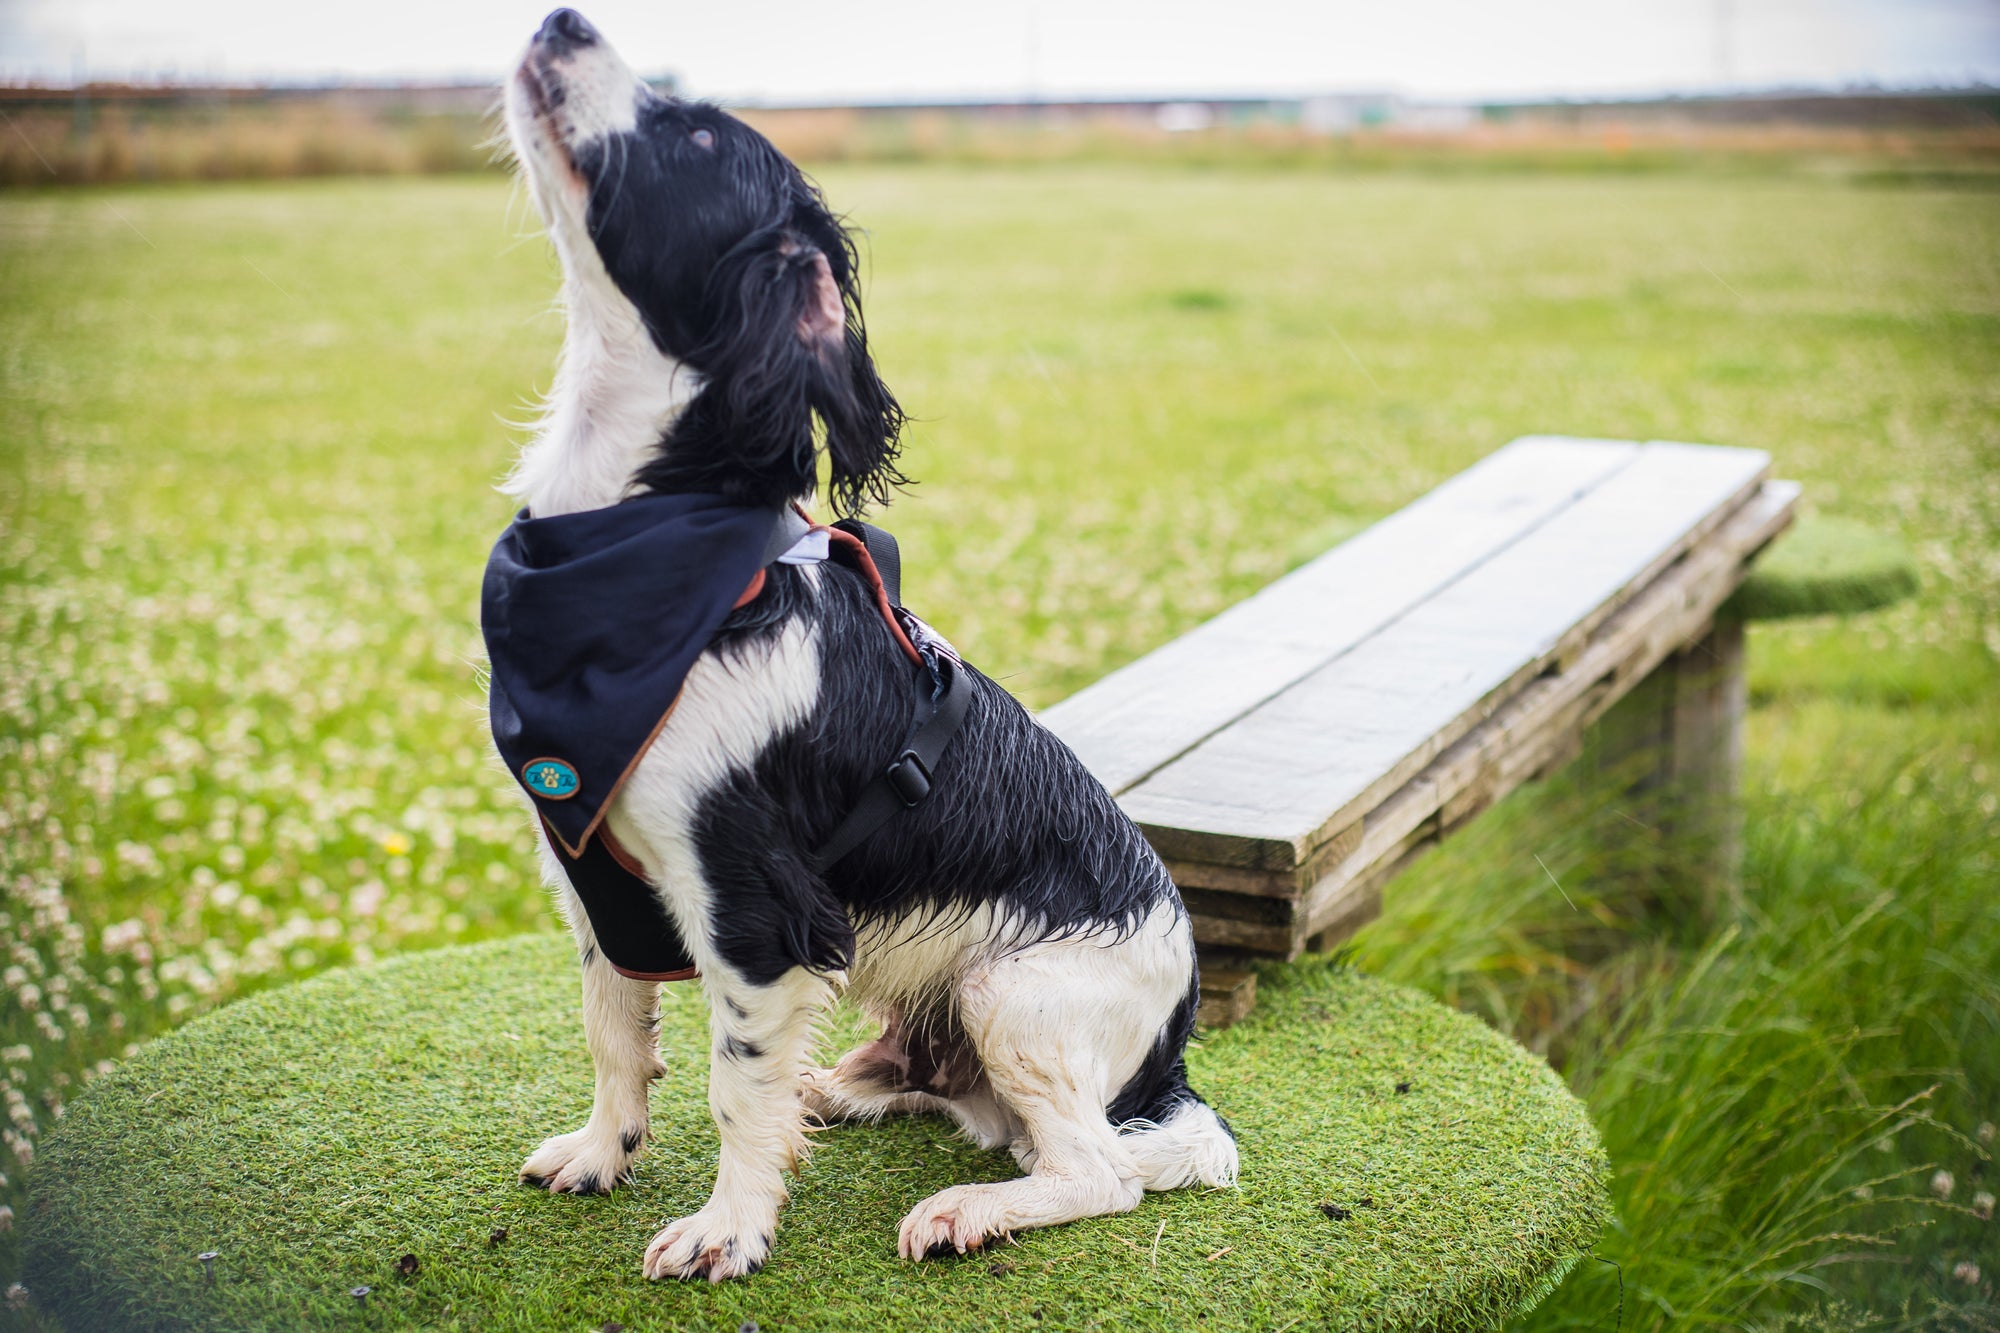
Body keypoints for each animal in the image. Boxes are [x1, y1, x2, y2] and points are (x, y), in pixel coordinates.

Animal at [496, 7, 1232, 1280]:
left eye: (694, 132)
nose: (561, 18)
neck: (640, 542)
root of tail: (1170, 1062)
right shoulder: (597, 877)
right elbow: (612, 1032)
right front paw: (603, 1150)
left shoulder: (752, 904)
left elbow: (732, 1081)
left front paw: (729, 1227)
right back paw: (843, 1089)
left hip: (1010, 990)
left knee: (1096, 1169)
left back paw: (967, 1209)